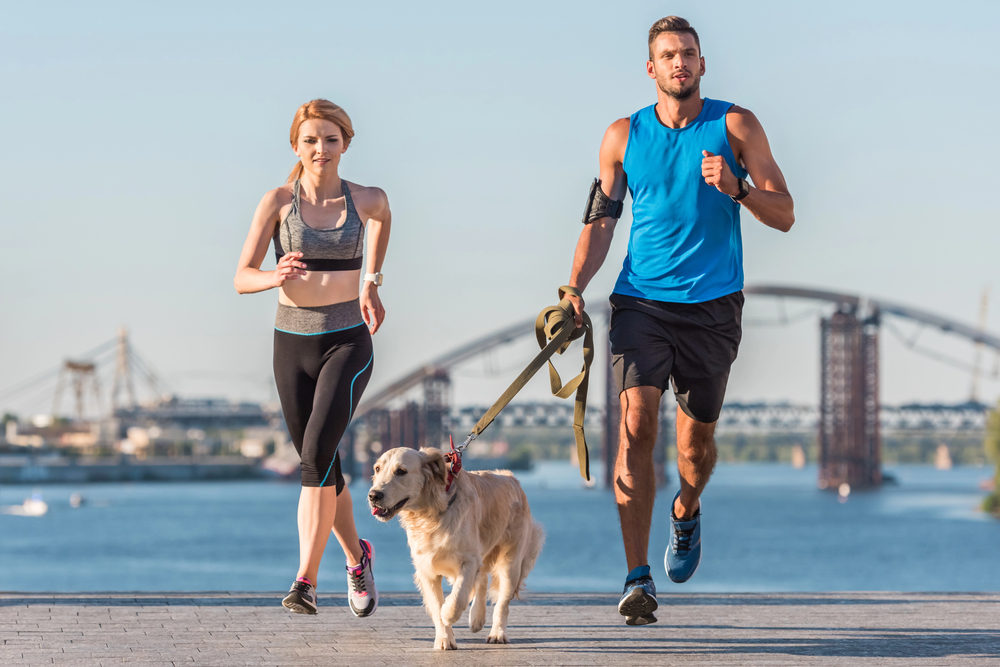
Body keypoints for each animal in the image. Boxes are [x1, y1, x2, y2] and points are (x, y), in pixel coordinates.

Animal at [368, 446, 544, 648]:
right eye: (377, 469)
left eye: (401, 471)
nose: (373, 495)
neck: (431, 514)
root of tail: (510, 477)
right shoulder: (426, 568)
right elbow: (437, 603)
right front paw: (444, 638)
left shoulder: (468, 560)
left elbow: (459, 597)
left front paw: (448, 614)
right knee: (482, 579)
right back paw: (477, 619)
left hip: (511, 562)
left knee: (502, 602)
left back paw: (497, 633)